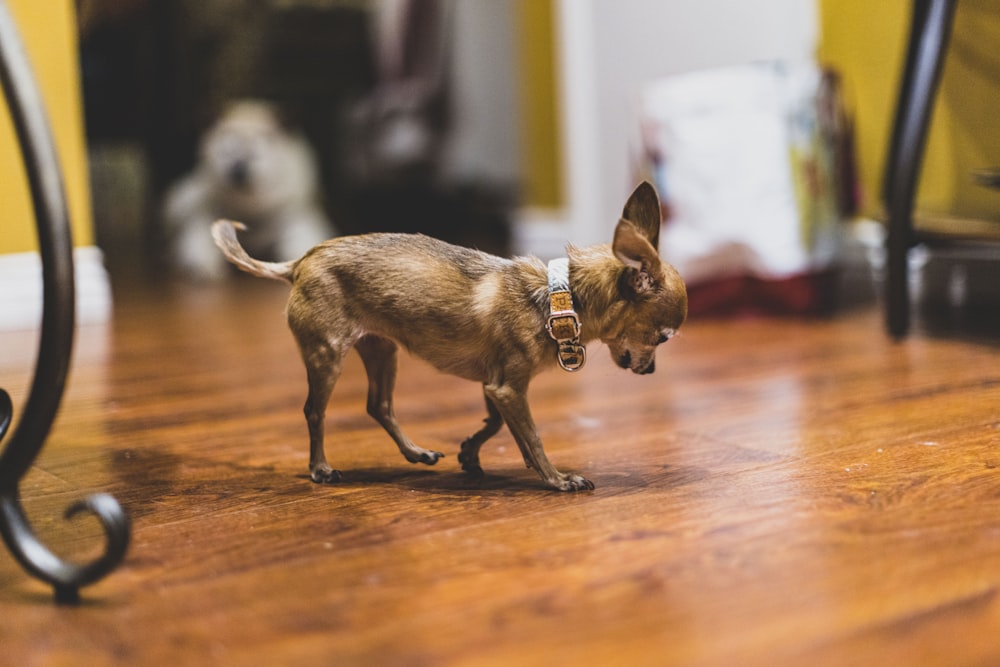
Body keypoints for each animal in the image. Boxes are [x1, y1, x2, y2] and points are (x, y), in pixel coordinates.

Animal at [163, 102, 332, 282]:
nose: (239, 169)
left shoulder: (298, 225)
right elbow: (200, 248)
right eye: (227, 153)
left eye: (255, 156)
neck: (250, 211)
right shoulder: (201, 224)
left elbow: (298, 247)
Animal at [213, 181, 688, 490]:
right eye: (663, 338)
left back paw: (415, 453)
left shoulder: (495, 384)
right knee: (315, 411)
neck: (558, 297)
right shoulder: (508, 387)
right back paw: (320, 469)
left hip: (381, 350)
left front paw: (470, 453)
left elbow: (496, 423)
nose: (651, 371)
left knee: (378, 405)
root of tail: (298, 262)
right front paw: (557, 479)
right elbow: (532, 437)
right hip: (327, 354)